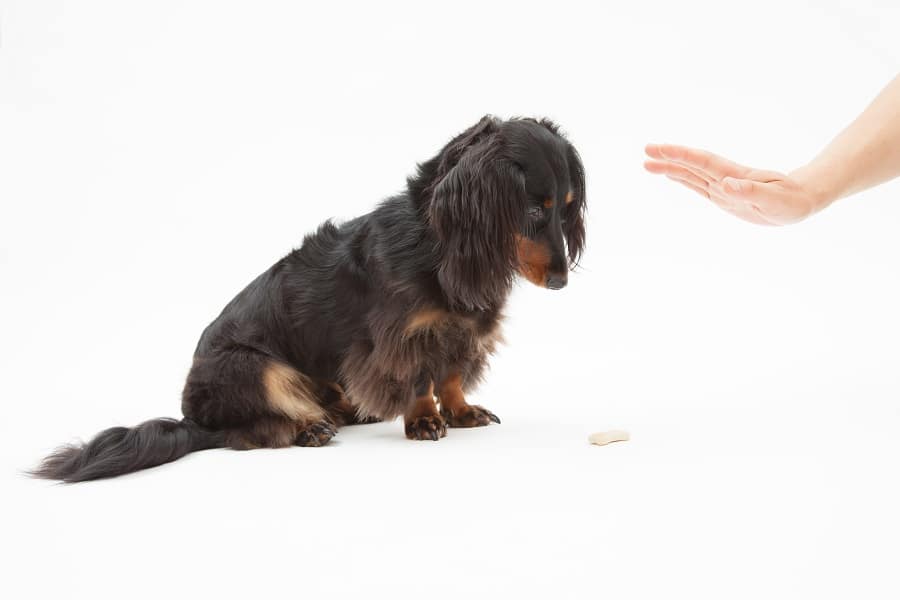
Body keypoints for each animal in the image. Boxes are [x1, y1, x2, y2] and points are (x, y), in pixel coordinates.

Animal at [33, 116, 584, 482]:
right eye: (534, 209)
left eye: (566, 208)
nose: (562, 281)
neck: (443, 246)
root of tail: (192, 417)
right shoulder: (399, 338)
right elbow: (417, 379)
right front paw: (424, 418)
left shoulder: (462, 331)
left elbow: (449, 374)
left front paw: (461, 410)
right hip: (252, 366)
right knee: (241, 433)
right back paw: (306, 429)